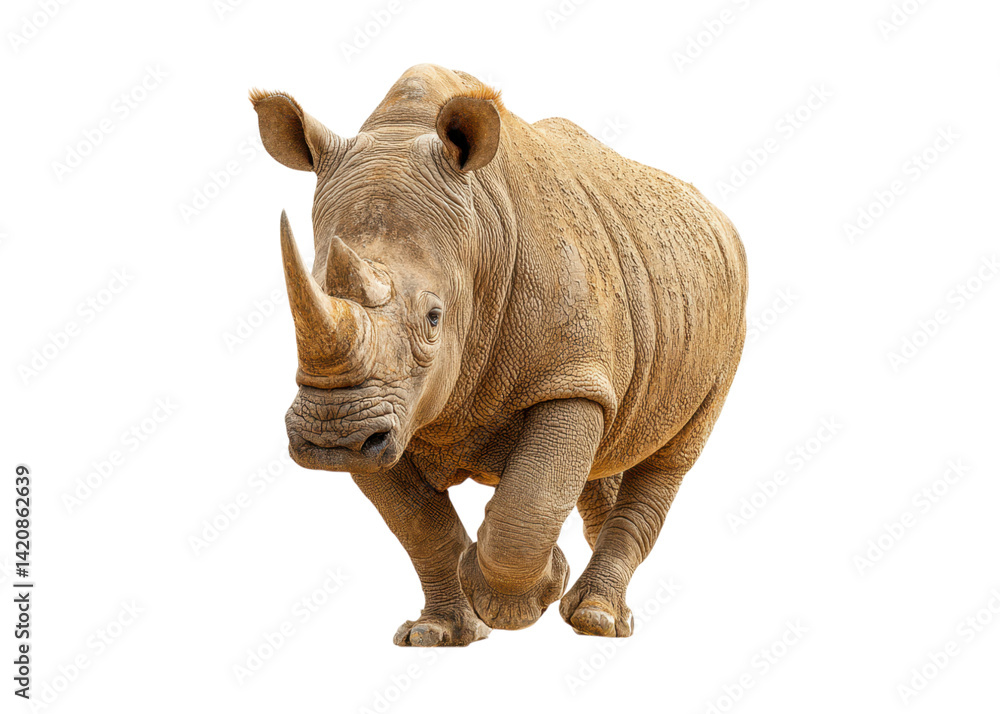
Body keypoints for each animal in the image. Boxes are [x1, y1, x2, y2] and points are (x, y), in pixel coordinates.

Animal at [251, 64, 747, 646]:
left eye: (434, 319)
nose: (332, 435)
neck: (481, 239)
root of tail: (717, 217)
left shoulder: (566, 375)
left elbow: (530, 500)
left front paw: (520, 599)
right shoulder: (379, 407)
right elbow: (418, 523)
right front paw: (438, 632)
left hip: (729, 307)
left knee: (670, 457)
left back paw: (597, 620)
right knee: (610, 442)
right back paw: (601, 609)